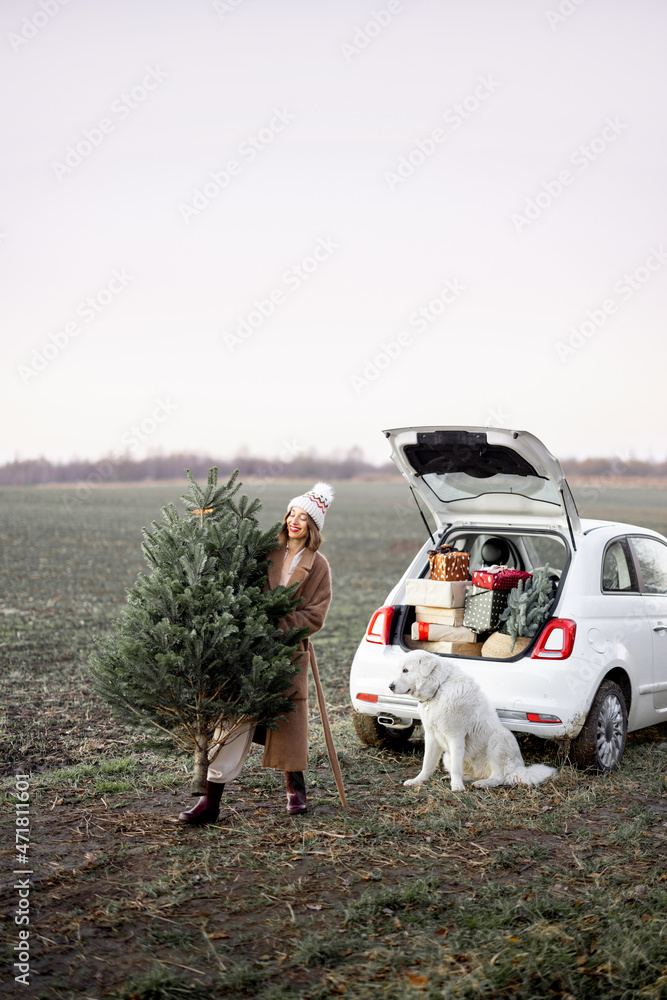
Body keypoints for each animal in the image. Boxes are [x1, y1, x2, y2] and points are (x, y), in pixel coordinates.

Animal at [392, 652, 560, 792]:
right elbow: (427, 764)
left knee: (499, 778)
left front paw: (457, 787)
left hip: (499, 738)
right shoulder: (431, 736)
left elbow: (456, 768)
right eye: (400, 669)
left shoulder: (456, 737)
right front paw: (417, 781)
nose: (390, 686)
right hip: (448, 756)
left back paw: (483, 783)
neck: (439, 688)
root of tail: (520, 769)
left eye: (405, 670)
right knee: (473, 773)